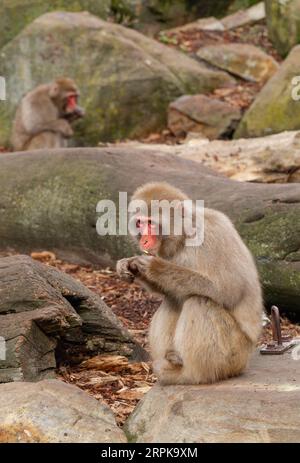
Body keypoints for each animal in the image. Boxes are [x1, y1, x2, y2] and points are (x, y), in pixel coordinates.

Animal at [117, 183, 262, 386]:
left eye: (151, 223)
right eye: (139, 223)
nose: (144, 240)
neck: (184, 237)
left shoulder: (214, 232)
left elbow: (229, 289)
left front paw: (154, 267)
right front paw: (127, 266)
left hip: (234, 354)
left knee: (199, 301)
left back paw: (191, 374)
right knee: (173, 299)